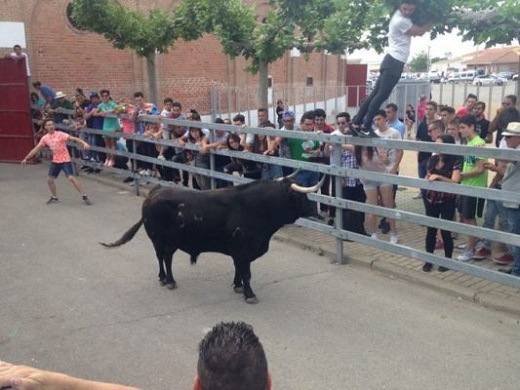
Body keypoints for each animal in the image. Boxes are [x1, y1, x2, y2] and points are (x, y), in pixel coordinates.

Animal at [99, 178, 322, 304]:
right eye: (303, 198)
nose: (317, 212)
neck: (259, 207)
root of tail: (155, 191)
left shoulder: (239, 251)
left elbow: (238, 269)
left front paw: (237, 286)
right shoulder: (243, 249)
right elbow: (246, 272)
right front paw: (249, 294)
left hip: (165, 241)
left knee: (163, 258)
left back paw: (164, 279)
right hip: (160, 239)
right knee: (163, 258)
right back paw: (168, 280)